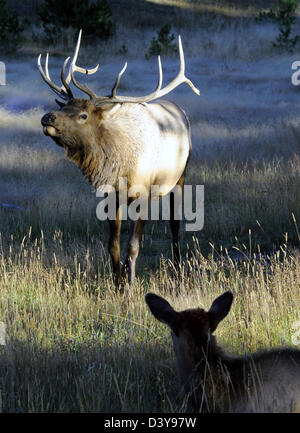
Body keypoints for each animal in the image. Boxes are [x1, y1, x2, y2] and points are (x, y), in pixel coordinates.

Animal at [38, 29, 199, 286]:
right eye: (64, 108)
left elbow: (133, 246)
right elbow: (112, 244)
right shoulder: (110, 196)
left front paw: (130, 285)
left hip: (180, 176)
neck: (120, 170)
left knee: (175, 224)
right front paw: (118, 282)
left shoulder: (143, 194)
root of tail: (179, 109)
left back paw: (177, 269)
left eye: (83, 115)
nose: (47, 117)